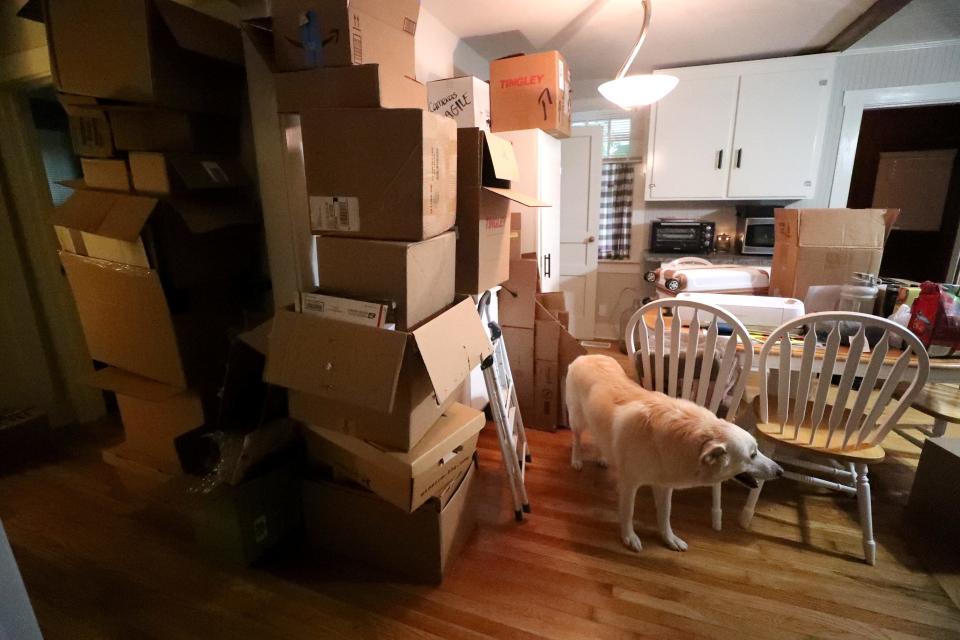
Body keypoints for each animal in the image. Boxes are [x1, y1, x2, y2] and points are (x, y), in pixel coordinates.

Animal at [568, 352, 784, 552]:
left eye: (757, 449)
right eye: (752, 455)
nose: (781, 472)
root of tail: (588, 356)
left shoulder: (664, 485)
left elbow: (665, 515)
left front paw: (670, 539)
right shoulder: (629, 484)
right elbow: (628, 512)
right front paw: (629, 537)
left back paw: (602, 458)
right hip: (577, 420)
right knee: (577, 439)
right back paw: (577, 461)